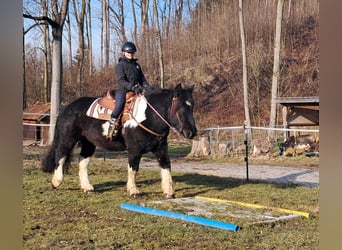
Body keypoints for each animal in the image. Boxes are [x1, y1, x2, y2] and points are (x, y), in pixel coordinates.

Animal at [42, 83, 196, 197]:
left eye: (192, 106)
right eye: (181, 106)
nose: (191, 132)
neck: (148, 116)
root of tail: (67, 107)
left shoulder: (161, 148)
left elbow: (166, 166)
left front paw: (169, 191)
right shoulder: (134, 150)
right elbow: (133, 169)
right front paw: (133, 191)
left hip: (88, 143)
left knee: (83, 162)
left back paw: (87, 187)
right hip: (68, 139)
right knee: (60, 155)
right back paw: (56, 181)